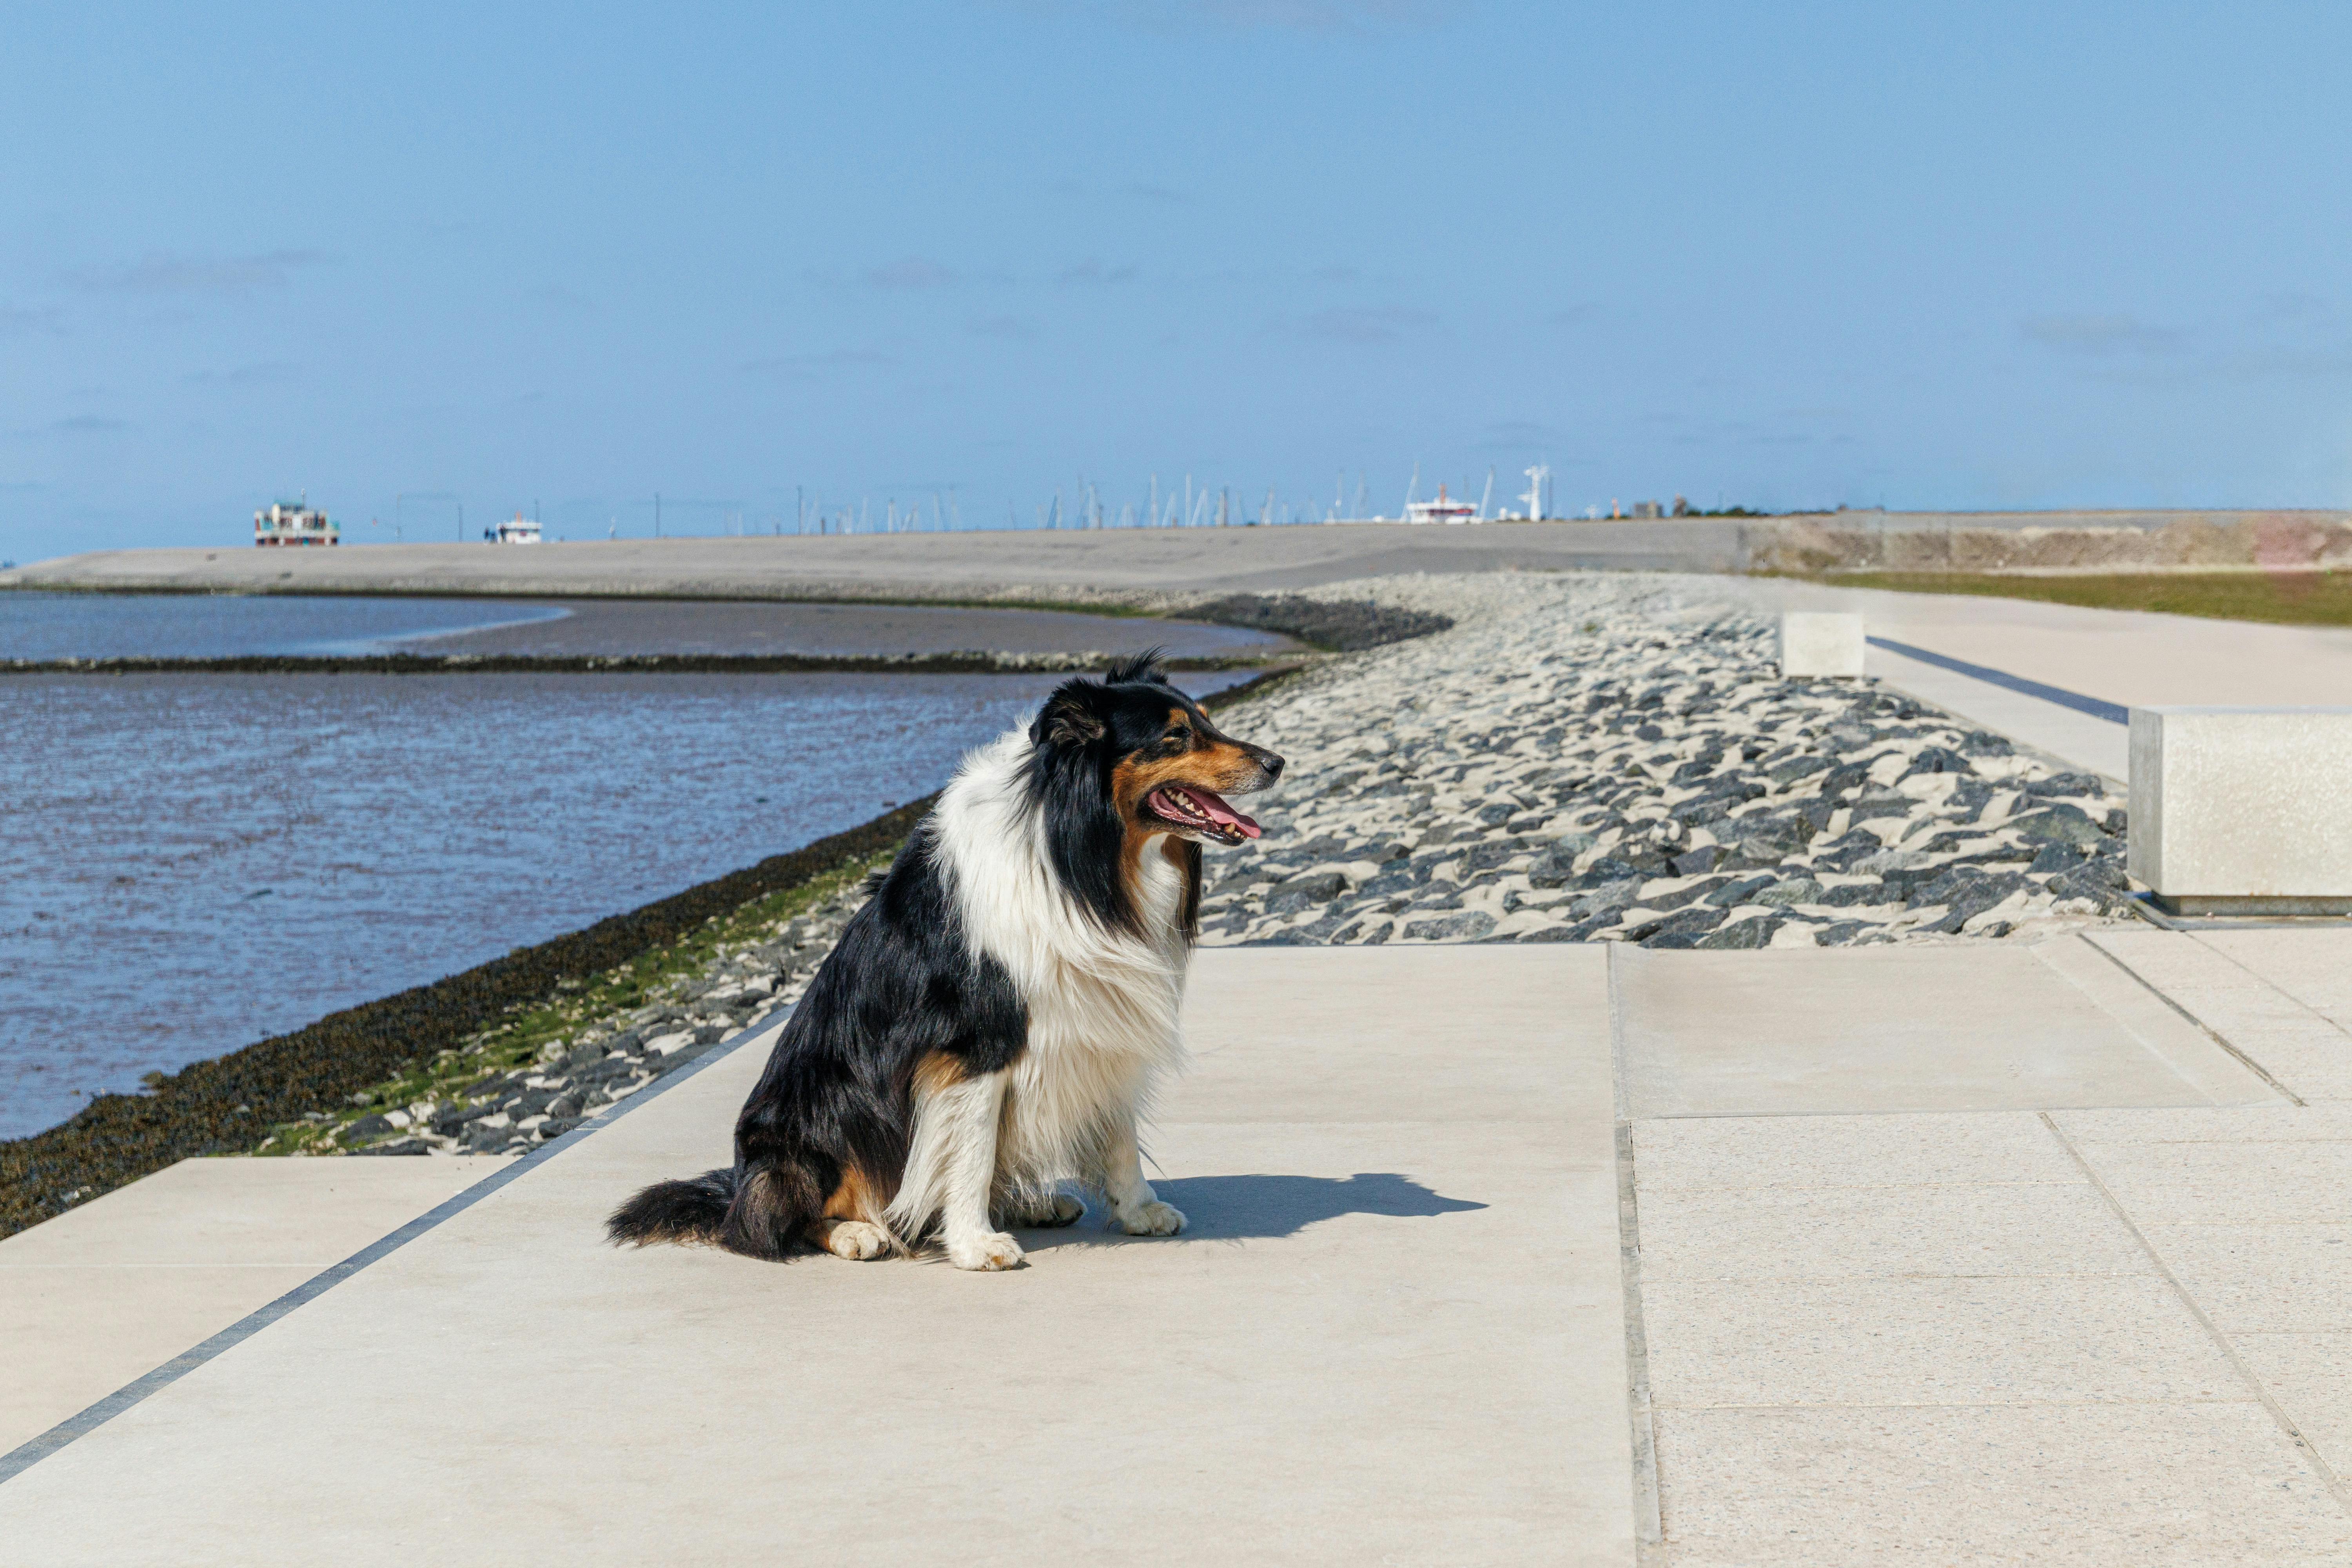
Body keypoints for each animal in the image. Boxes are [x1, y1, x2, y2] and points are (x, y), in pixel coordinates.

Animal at [597, 658, 1279, 1269]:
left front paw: (1139, 1210)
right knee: (772, 1218)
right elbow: (970, 1151)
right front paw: (975, 1245)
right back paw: (858, 1232)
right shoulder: (976, 1044)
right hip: (822, 1112)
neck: (1082, 856)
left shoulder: (1101, 1012)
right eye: (1175, 736)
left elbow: (1119, 1136)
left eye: (1208, 721)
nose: (1277, 763)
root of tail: (734, 1184)